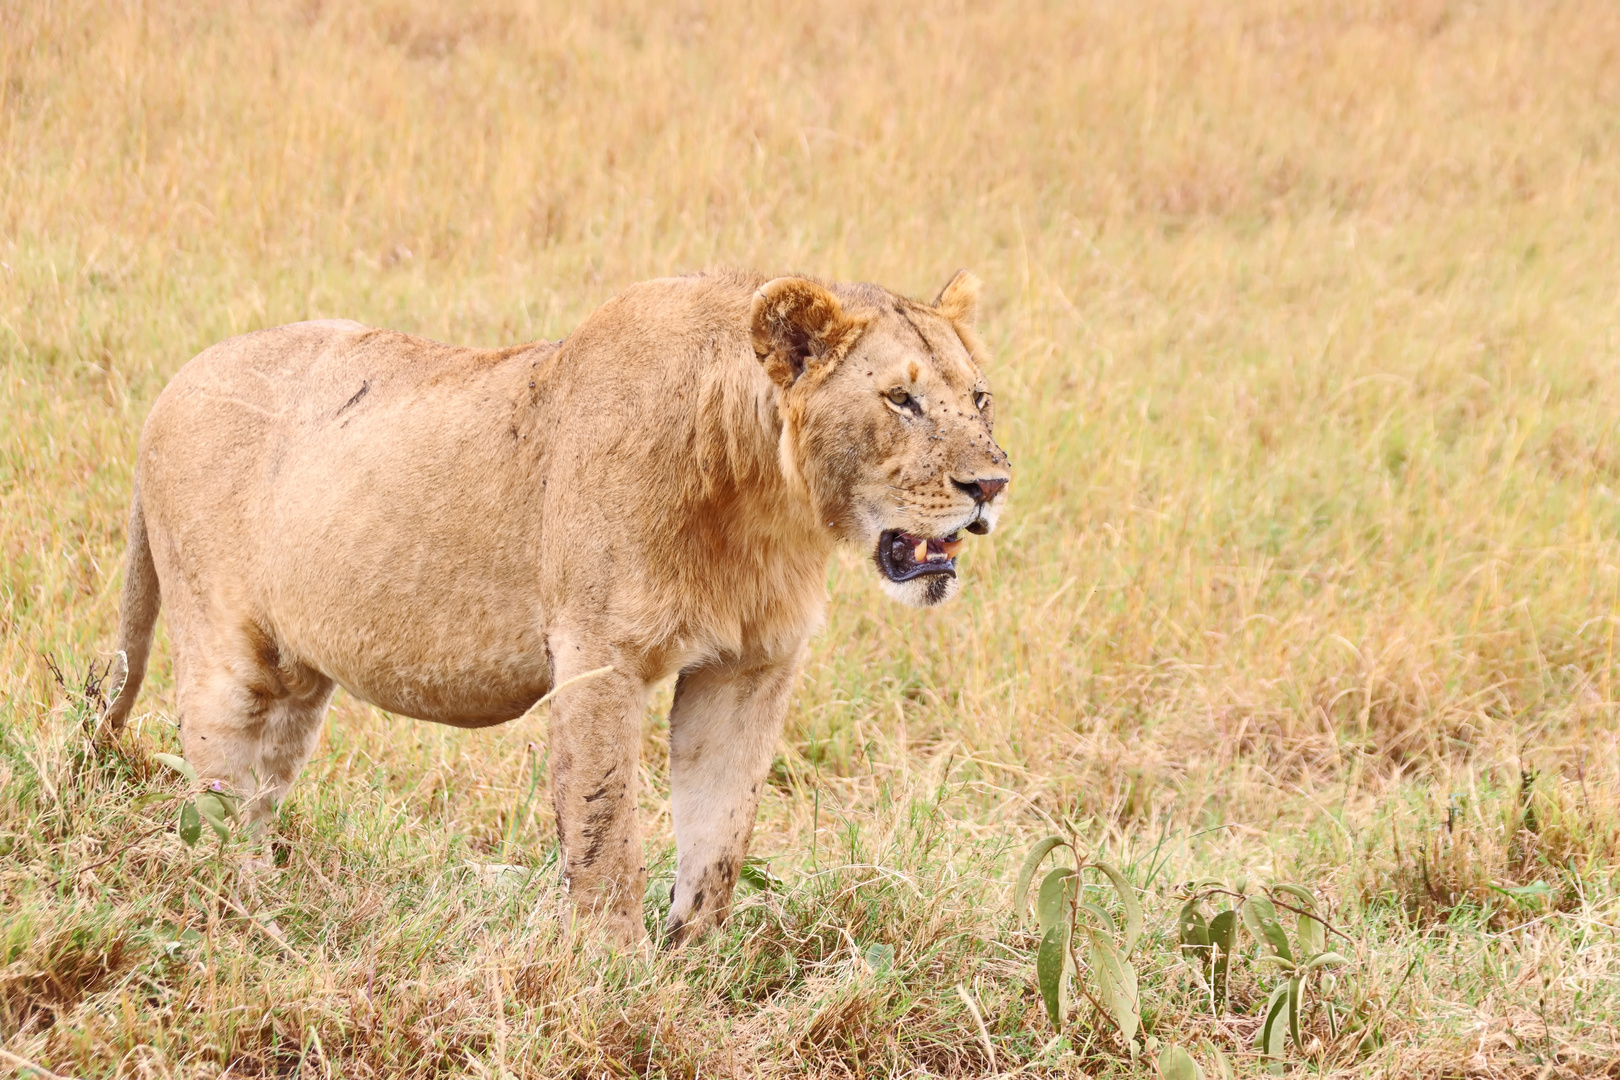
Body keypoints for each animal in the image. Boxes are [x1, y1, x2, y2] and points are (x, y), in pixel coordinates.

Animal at [101, 270, 1004, 945]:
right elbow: (607, 830)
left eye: (980, 397)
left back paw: (274, 903)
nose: (991, 484)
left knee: (264, 784)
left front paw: (696, 967)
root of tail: (168, 388)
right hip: (222, 649)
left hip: (296, 675)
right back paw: (245, 916)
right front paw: (616, 976)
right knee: (217, 794)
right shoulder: (599, 653)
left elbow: (719, 832)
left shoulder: (752, 667)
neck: (762, 506)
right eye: (900, 400)